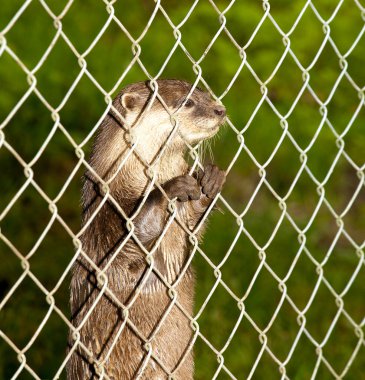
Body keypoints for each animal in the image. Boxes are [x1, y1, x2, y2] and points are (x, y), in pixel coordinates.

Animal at [66, 78, 225, 378]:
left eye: (206, 93)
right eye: (187, 101)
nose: (220, 110)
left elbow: (191, 228)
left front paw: (209, 179)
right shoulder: (103, 221)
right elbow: (129, 243)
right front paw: (167, 190)